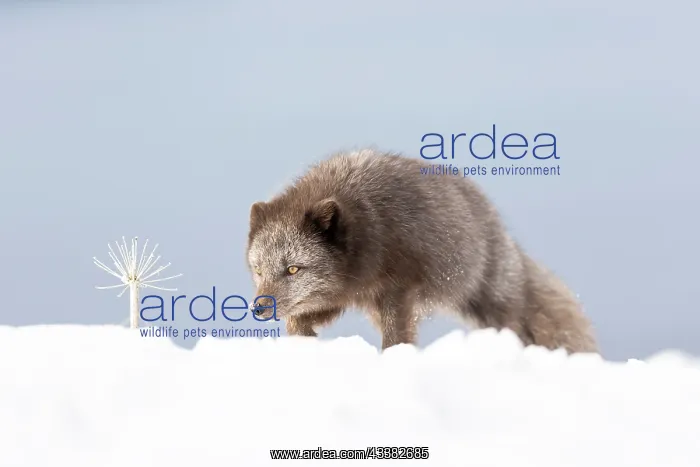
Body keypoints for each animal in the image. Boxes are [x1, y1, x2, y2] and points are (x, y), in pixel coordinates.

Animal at [246, 149, 598, 354]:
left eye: (293, 269)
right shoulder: (340, 294)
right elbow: (299, 321)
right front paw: (305, 341)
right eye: (258, 270)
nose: (260, 310)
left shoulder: (399, 288)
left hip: (490, 301)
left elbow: (396, 336)